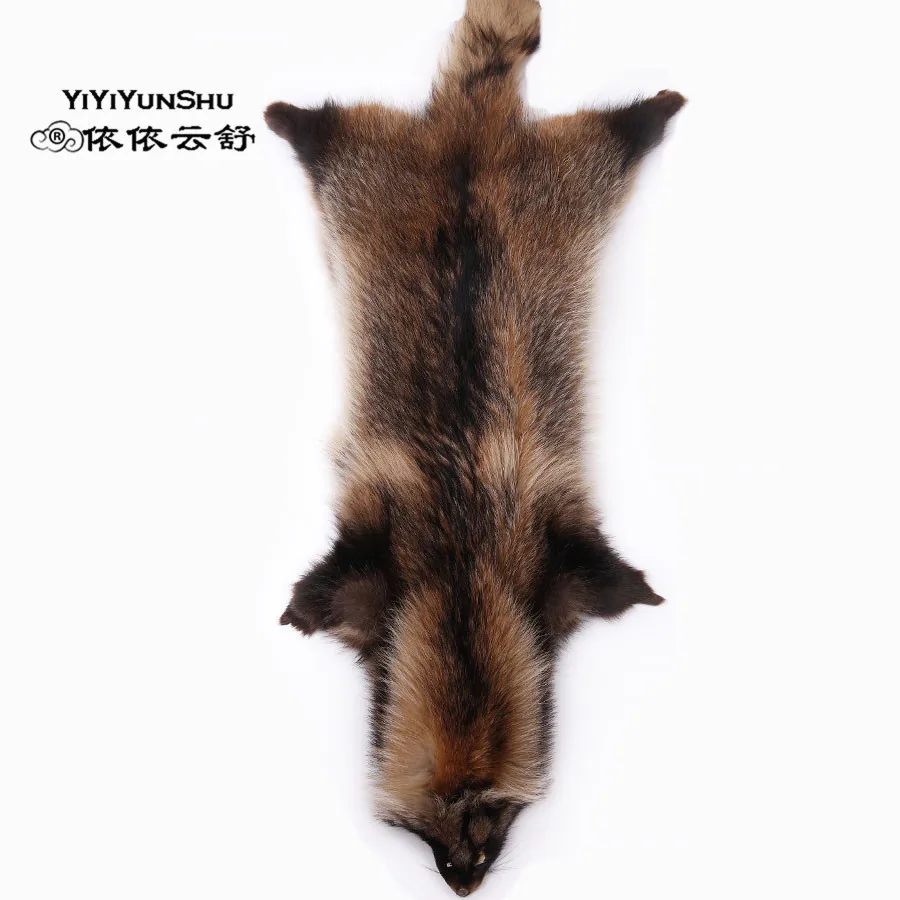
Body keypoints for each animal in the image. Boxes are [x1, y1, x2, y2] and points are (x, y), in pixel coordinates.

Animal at [266, 0, 682, 894]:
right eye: (427, 827)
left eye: (490, 823)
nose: (463, 881)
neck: (461, 594)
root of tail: (472, 131)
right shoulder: (376, 563)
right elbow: (321, 590)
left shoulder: (555, 560)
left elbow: (610, 575)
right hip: (373, 174)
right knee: (332, 131)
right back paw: (287, 119)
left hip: (560, 181)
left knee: (613, 135)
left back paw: (656, 109)